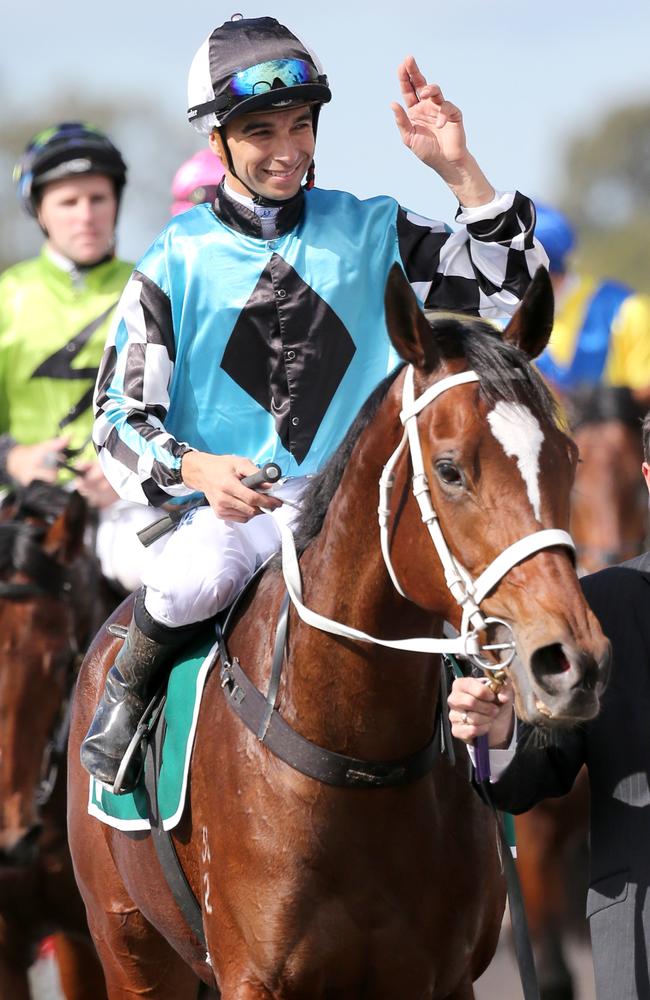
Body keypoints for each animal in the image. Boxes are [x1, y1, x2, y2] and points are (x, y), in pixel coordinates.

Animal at [66, 268, 608, 1000]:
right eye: (450, 469)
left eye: (568, 459)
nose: (568, 662)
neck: (356, 760)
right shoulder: (251, 977)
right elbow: (120, 407)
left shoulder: (441, 976)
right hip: (128, 947)